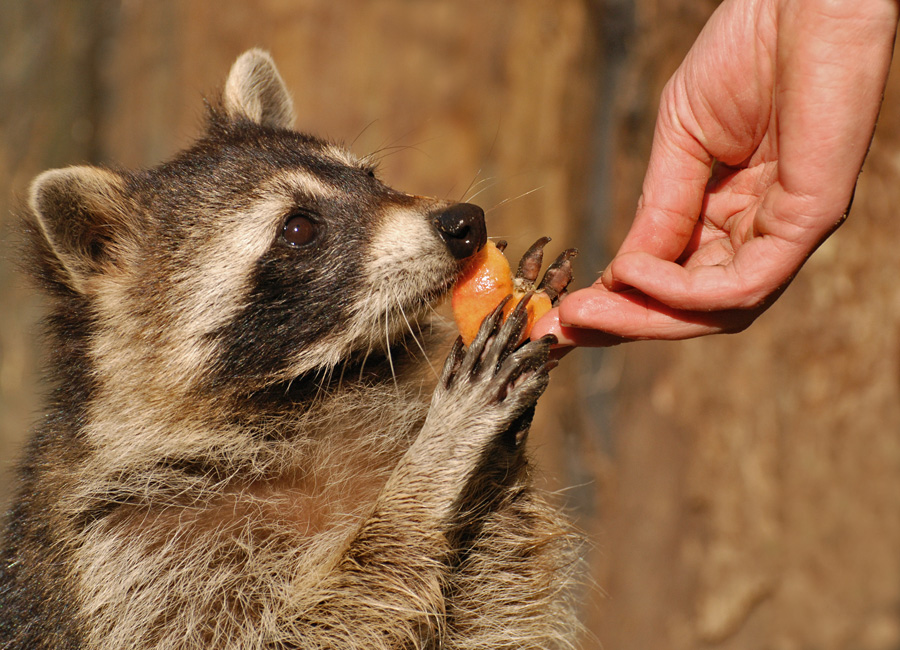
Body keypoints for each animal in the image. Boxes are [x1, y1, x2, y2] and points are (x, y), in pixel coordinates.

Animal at [0, 48, 584, 644]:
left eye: (368, 176)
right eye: (299, 229)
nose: (465, 222)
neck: (318, 389)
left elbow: (488, 610)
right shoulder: (126, 550)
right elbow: (297, 629)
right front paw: (434, 464)